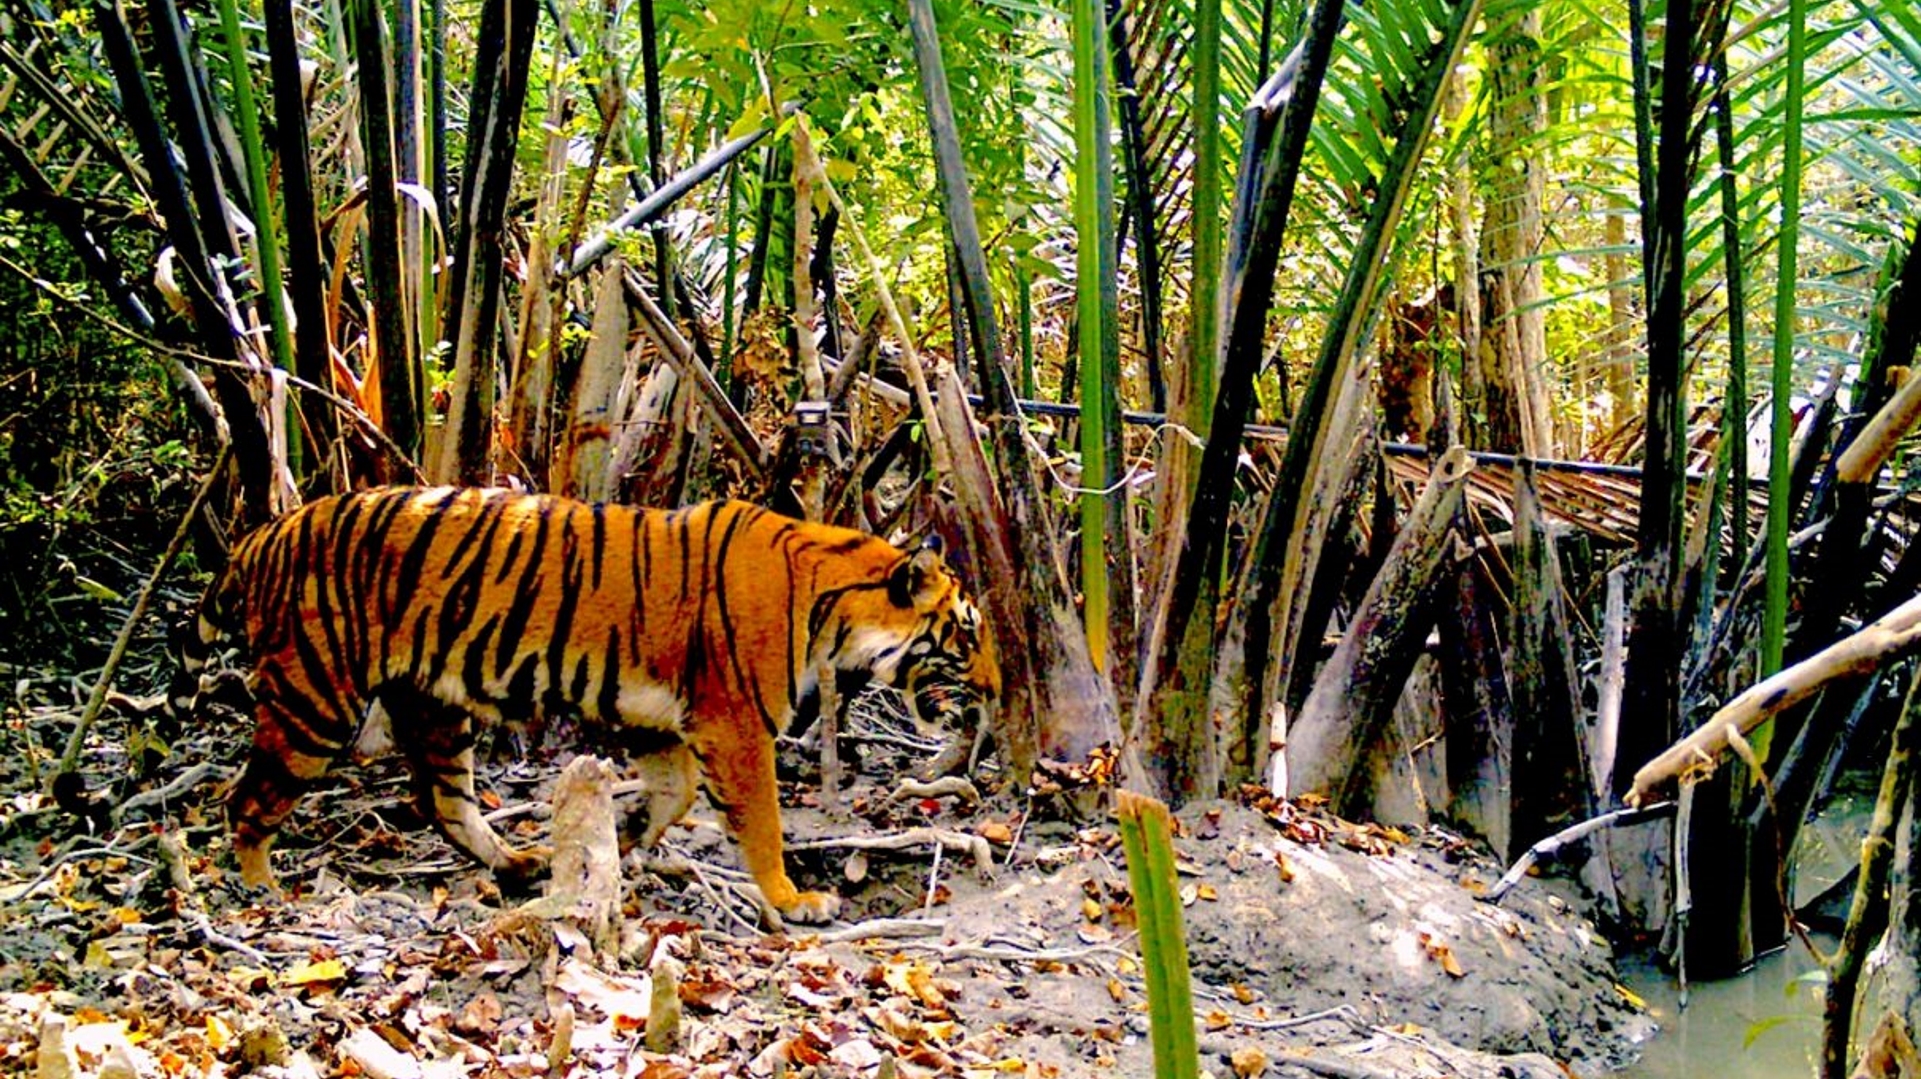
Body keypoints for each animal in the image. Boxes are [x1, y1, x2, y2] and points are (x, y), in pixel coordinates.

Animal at [165, 486, 1000, 924]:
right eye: (967, 633)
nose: (996, 687)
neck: (836, 604)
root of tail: (262, 533)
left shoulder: (659, 719)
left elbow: (674, 793)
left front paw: (623, 839)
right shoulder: (733, 723)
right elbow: (761, 820)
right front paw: (793, 898)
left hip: (434, 704)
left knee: (444, 801)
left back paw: (517, 861)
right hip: (317, 696)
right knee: (245, 800)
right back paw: (263, 891)